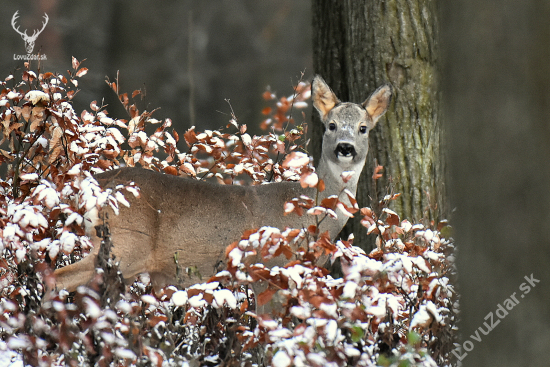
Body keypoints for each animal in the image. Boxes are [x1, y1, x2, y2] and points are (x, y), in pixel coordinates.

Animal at [54, 75, 392, 308]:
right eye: (331, 125)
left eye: (363, 128)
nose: (345, 148)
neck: (307, 212)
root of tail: (94, 185)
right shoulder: (266, 269)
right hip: (125, 245)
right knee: (58, 279)